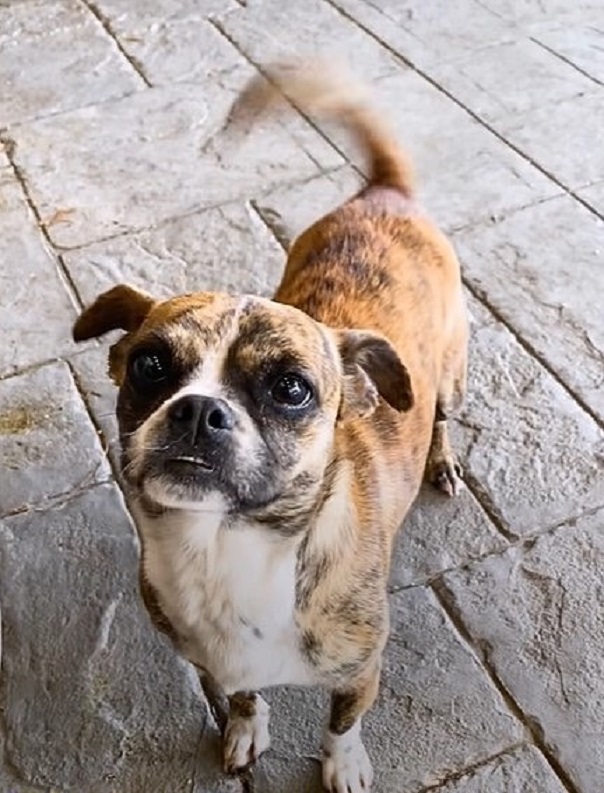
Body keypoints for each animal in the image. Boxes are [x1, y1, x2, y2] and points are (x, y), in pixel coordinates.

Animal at [73, 60, 470, 792]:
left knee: (441, 415)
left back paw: (443, 460)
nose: (199, 410)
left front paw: (344, 764)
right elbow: (244, 695)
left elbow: (342, 722)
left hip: (453, 375)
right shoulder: (215, 662)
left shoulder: (361, 669)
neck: (226, 548)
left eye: (292, 389)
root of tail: (385, 193)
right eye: (148, 364)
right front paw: (245, 730)